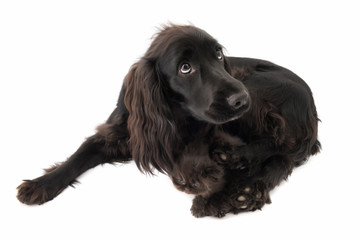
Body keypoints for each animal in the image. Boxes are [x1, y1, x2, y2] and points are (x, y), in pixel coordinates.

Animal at [16, 25, 320, 217]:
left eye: (218, 54)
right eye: (185, 68)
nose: (241, 100)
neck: (175, 116)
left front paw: (217, 191)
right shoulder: (123, 131)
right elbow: (80, 153)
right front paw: (40, 185)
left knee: (281, 151)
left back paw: (240, 185)